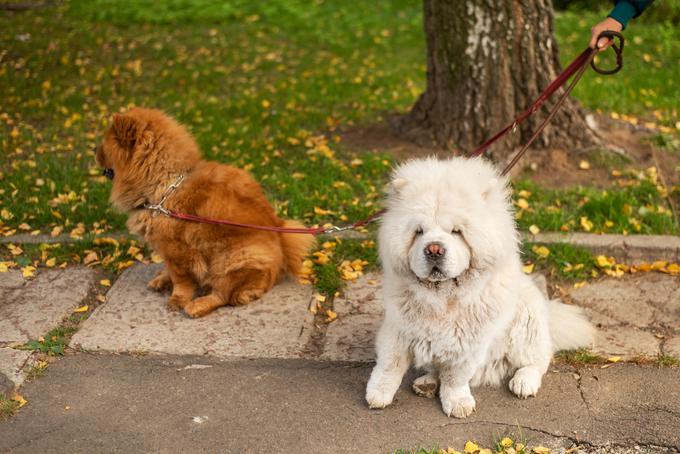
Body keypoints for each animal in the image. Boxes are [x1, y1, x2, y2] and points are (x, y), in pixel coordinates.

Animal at [97, 107, 314, 318]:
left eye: (104, 145)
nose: (93, 150)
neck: (165, 184)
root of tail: (282, 250)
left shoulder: (177, 251)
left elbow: (181, 280)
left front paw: (177, 299)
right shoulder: (168, 251)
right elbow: (168, 269)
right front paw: (162, 279)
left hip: (233, 259)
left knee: (224, 294)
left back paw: (196, 306)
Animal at [364, 157, 592, 418]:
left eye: (457, 232)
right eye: (418, 232)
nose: (434, 249)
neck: (443, 297)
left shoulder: (470, 342)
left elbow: (455, 377)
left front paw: (457, 403)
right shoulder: (398, 327)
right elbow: (389, 364)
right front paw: (378, 394)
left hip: (526, 324)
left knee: (537, 360)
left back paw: (523, 382)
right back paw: (427, 382)